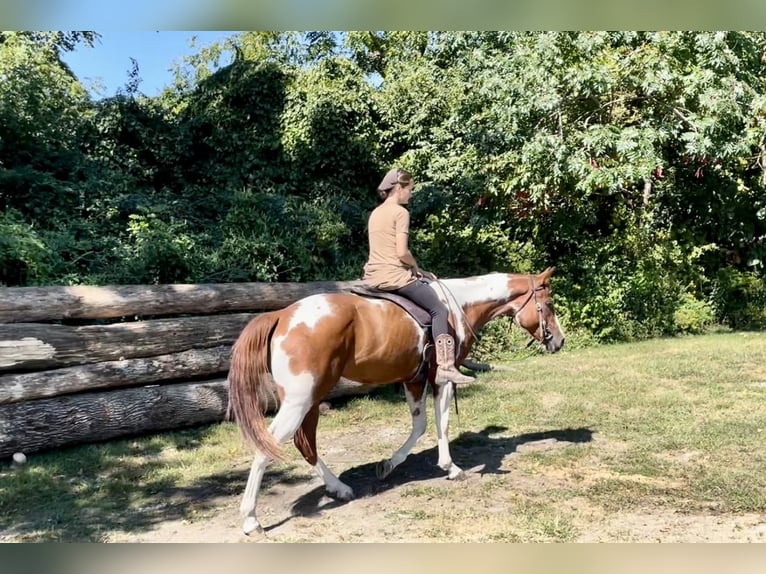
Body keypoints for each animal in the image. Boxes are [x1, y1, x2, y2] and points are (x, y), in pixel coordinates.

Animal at [226, 268, 564, 536]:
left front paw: (388, 465)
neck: (459, 305)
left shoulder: (413, 380)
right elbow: (441, 423)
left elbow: (420, 424)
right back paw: (251, 519)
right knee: (269, 447)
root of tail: (281, 315)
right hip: (300, 400)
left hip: (310, 399)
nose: (559, 341)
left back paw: (339, 488)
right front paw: (451, 467)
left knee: (305, 443)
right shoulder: (441, 378)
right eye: (548, 304)